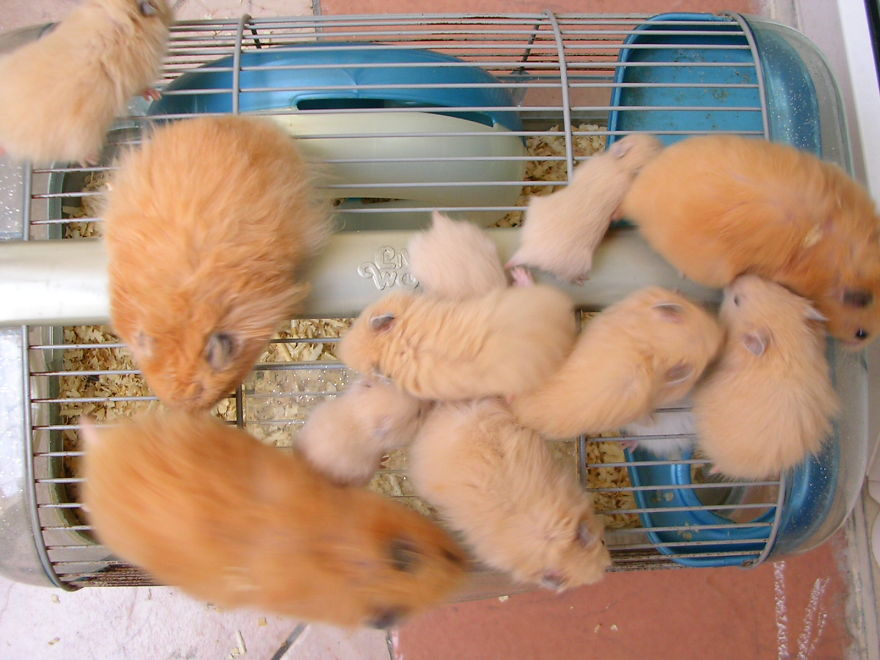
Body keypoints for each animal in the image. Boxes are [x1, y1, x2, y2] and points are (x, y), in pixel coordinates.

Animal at [507, 134, 663, 284]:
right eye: (654, 147)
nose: (662, 145)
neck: (619, 165)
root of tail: (526, 252)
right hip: (577, 264)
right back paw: (581, 280)